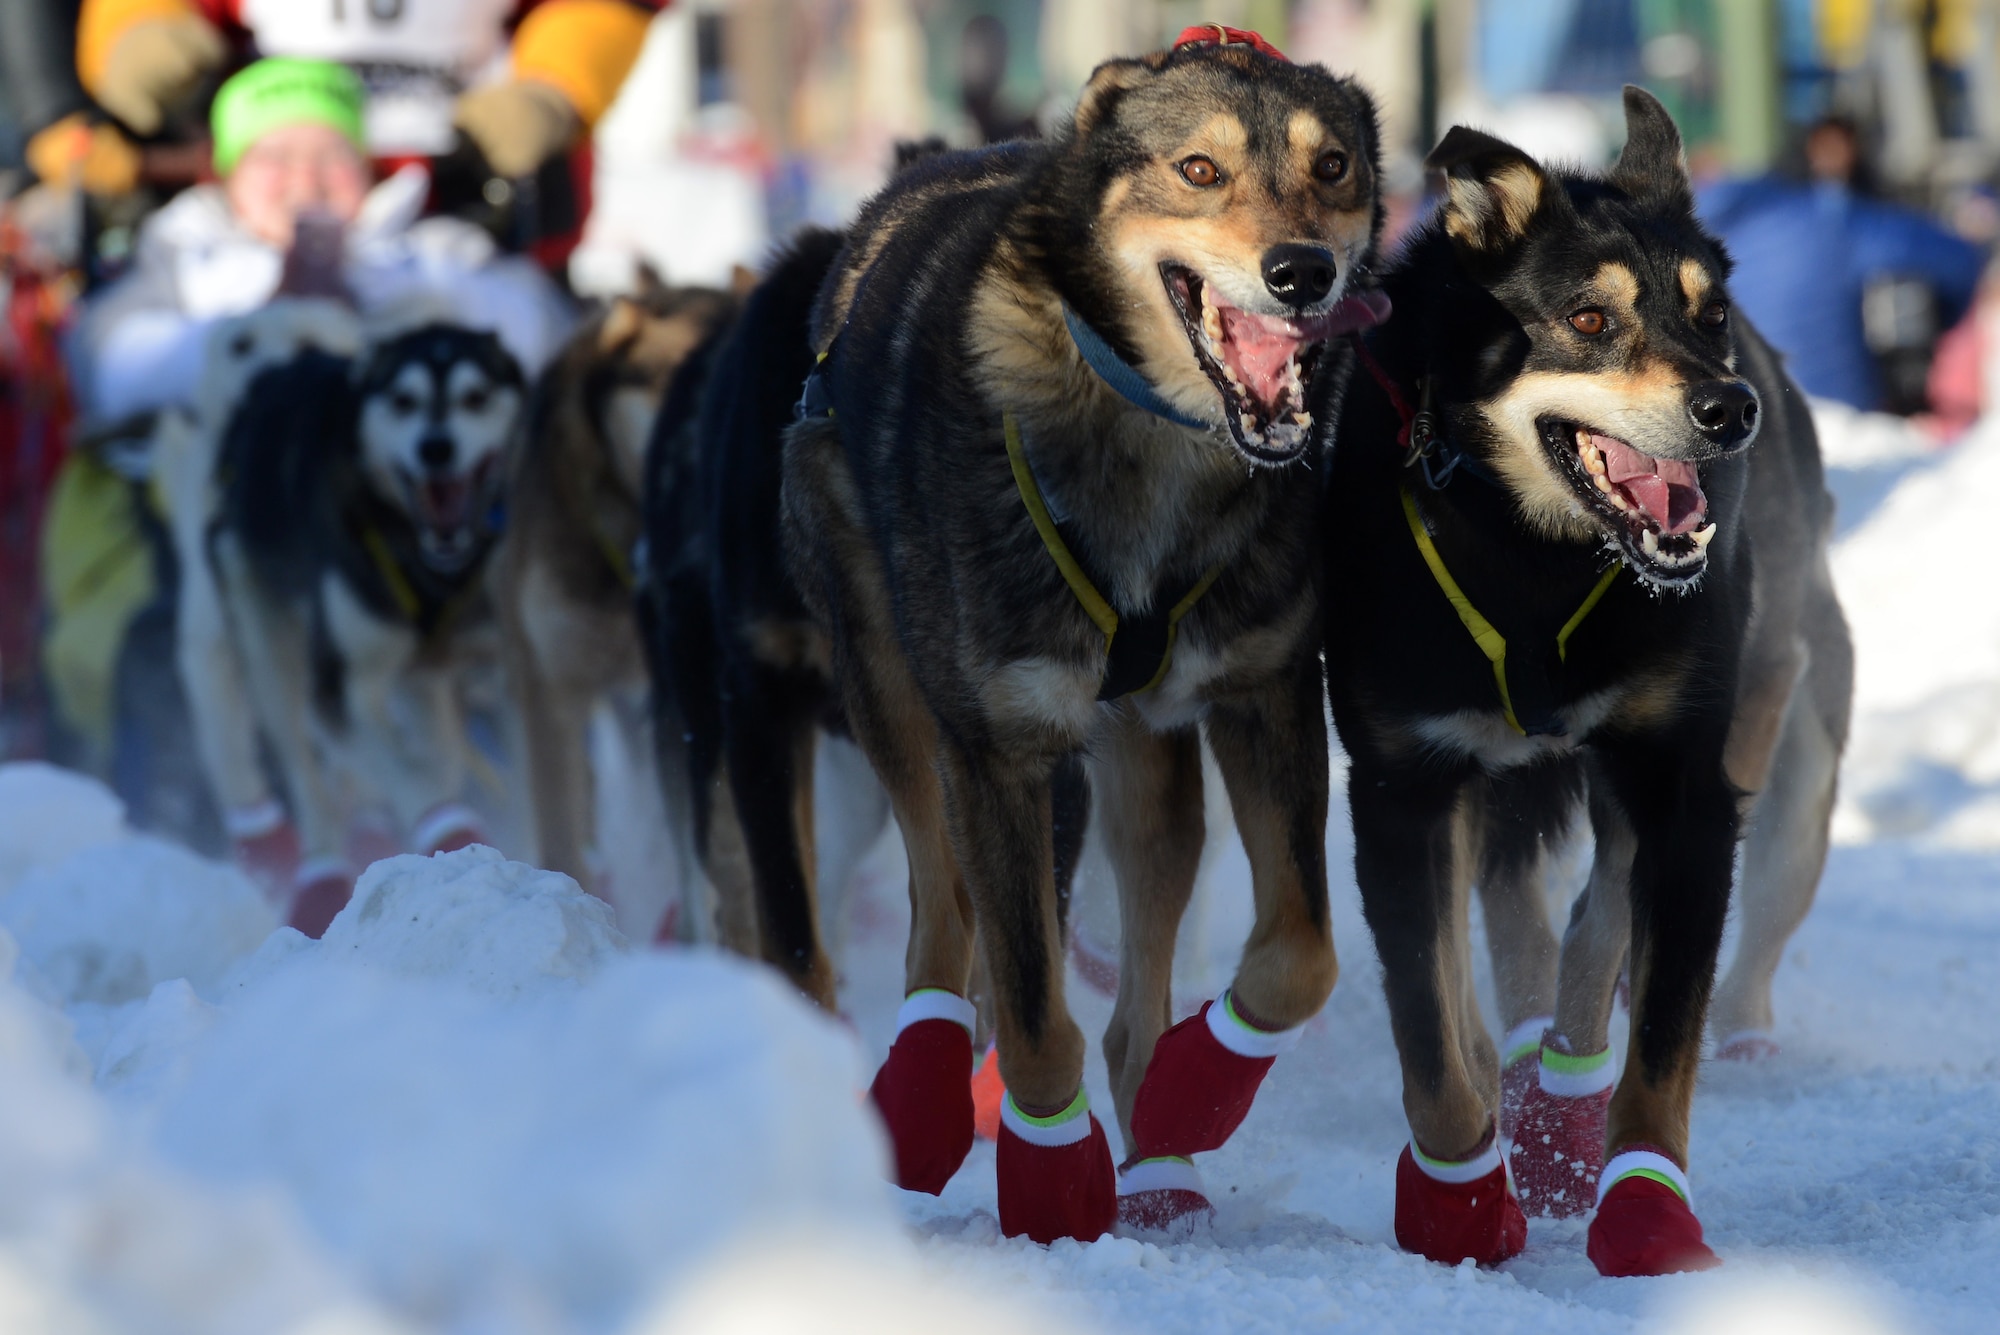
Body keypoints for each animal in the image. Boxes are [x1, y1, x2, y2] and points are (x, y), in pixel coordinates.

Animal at [780, 28, 1392, 1239]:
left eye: (1333, 165)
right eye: (1199, 169)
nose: (1302, 269)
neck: (1156, 440)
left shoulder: (1263, 694)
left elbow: (1298, 952)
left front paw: (1198, 1088)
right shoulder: (1001, 748)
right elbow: (1027, 1009)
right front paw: (1052, 1177)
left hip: (1147, 763)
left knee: (1133, 971)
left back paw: (1160, 1154)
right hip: (895, 691)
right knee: (939, 909)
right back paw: (923, 1096)